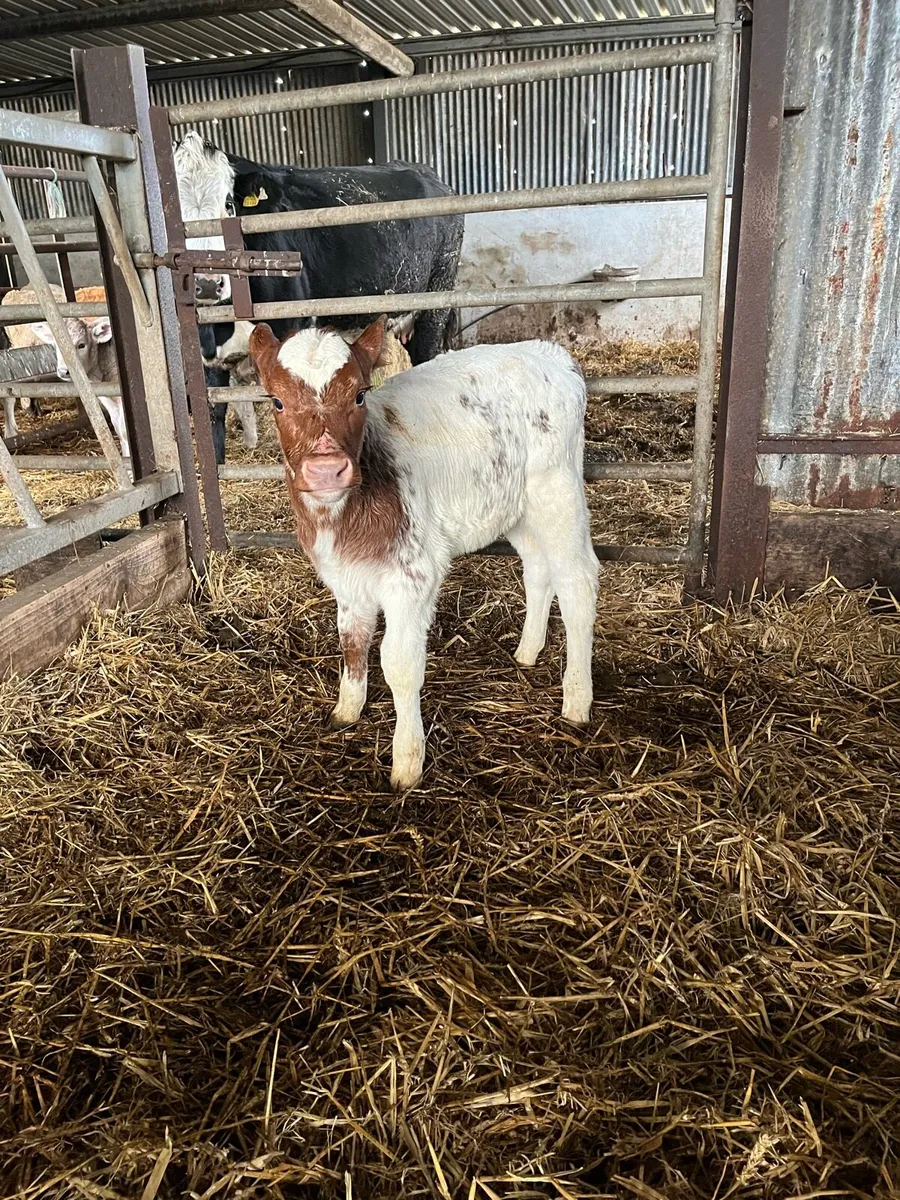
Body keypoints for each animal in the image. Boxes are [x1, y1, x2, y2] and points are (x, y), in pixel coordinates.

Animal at [247, 316, 598, 792]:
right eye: (278, 401)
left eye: (359, 394)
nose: (326, 470)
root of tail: (550, 352)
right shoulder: (346, 578)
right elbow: (352, 642)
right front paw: (346, 710)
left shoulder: (412, 577)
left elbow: (398, 664)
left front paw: (407, 762)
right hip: (517, 506)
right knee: (538, 569)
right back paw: (527, 651)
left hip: (557, 489)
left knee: (578, 582)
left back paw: (577, 699)